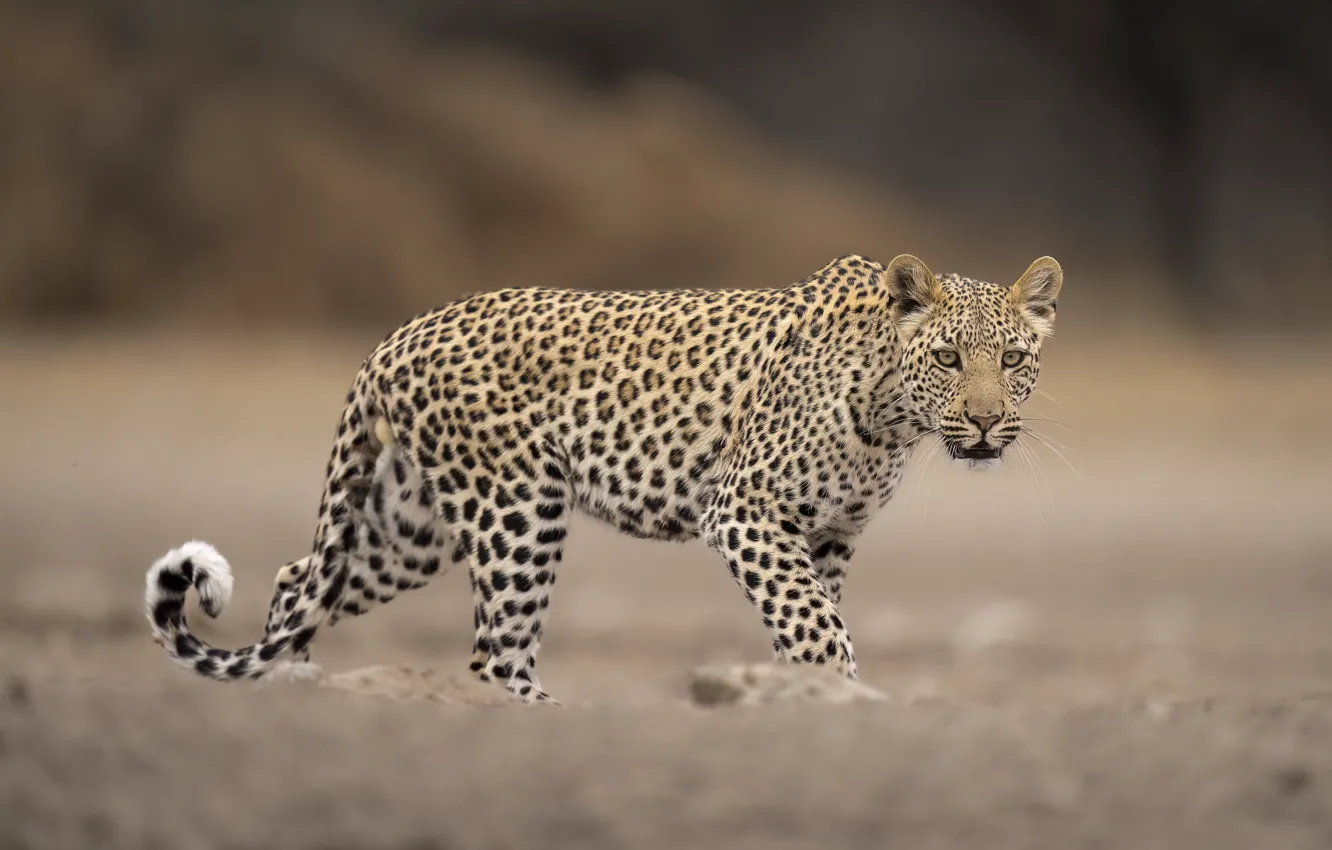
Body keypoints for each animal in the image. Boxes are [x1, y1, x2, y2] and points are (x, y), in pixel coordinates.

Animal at [145, 252, 1063, 704]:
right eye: (947, 359)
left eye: (1015, 361)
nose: (988, 423)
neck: (892, 417)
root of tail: (395, 335)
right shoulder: (745, 511)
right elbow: (818, 630)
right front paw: (837, 694)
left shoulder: (826, 534)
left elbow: (808, 622)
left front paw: (802, 696)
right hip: (518, 509)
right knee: (494, 653)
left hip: (411, 524)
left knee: (300, 578)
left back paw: (284, 691)